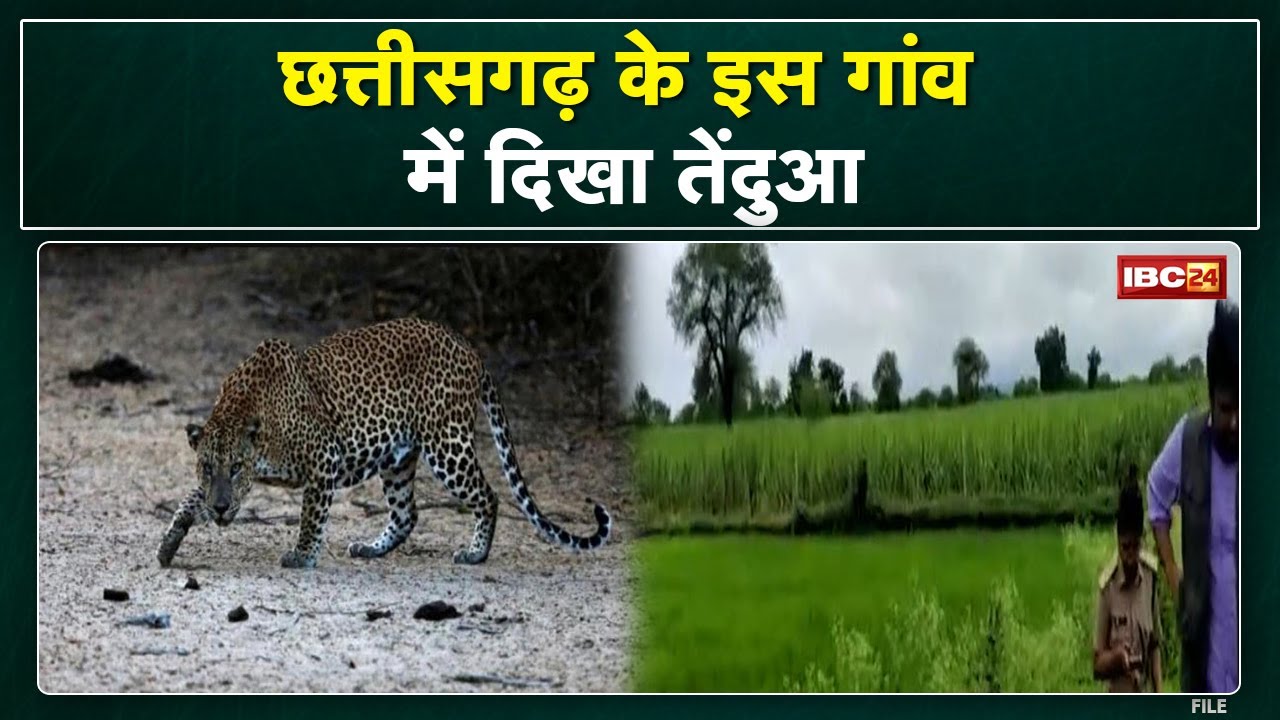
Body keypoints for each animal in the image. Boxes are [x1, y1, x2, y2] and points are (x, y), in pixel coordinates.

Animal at [156, 317, 612, 569]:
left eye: (236, 468)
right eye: (208, 467)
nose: (220, 508)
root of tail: (467, 346)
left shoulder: (324, 458)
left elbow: (310, 515)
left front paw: (302, 556)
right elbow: (189, 499)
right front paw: (170, 541)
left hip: (446, 443)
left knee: (488, 496)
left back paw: (475, 554)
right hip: (398, 458)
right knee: (407, 513)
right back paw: (372, 548)